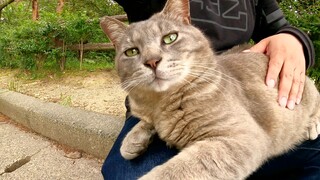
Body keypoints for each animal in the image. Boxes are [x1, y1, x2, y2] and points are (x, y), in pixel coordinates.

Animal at [100, 0, 320, 178]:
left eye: (170, 38)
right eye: (132, 52)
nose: (152, 61)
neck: (164, 103)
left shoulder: (240, 138)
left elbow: (175, 172)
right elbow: (145, 122)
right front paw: (133, 140)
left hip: (305, 89)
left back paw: (312, 125)